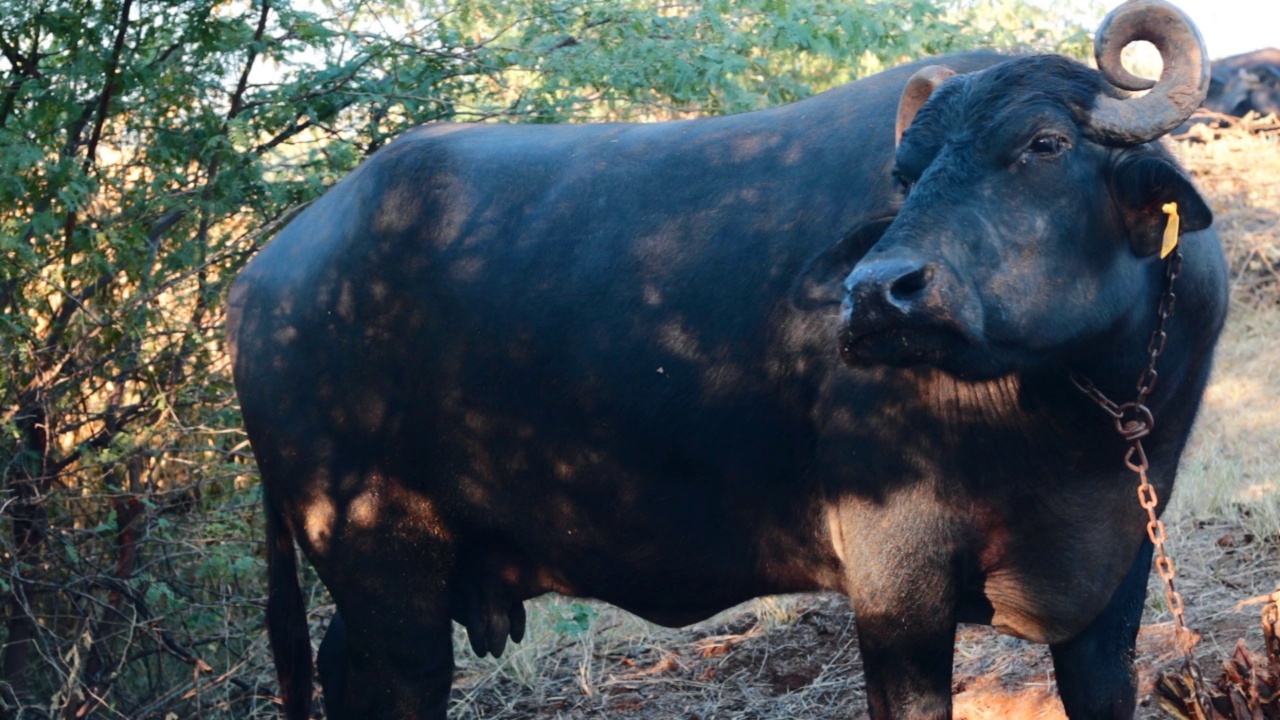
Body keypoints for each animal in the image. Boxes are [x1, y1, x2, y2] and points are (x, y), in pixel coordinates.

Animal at [227, 2, 1228, 712]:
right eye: (905, 175)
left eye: (1045, 144)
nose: (879, 294)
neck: (1063, 413)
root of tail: (261, 278)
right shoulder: (895, 577)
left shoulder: (1119, 568)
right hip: (382, 563)